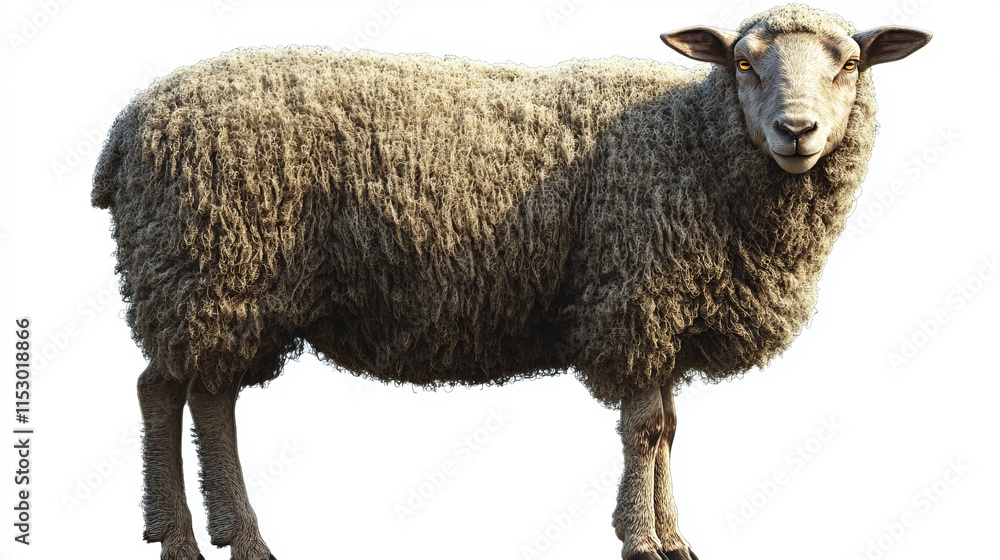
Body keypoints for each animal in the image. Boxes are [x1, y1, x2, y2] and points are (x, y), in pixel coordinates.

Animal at [92, 5, 930, 560]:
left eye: (849, 64)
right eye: (743, 63)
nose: (798, 131)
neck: (693, 142)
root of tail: (128, 126)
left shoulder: (663, 314)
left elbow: (667, 430)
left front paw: (674, 537)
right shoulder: (634, 296)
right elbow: (644, 431)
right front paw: (642, 541)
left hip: (218, 286)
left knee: (201, 397)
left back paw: (222, 538)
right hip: (205, 270)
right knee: (167, 393)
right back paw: (192, 539)